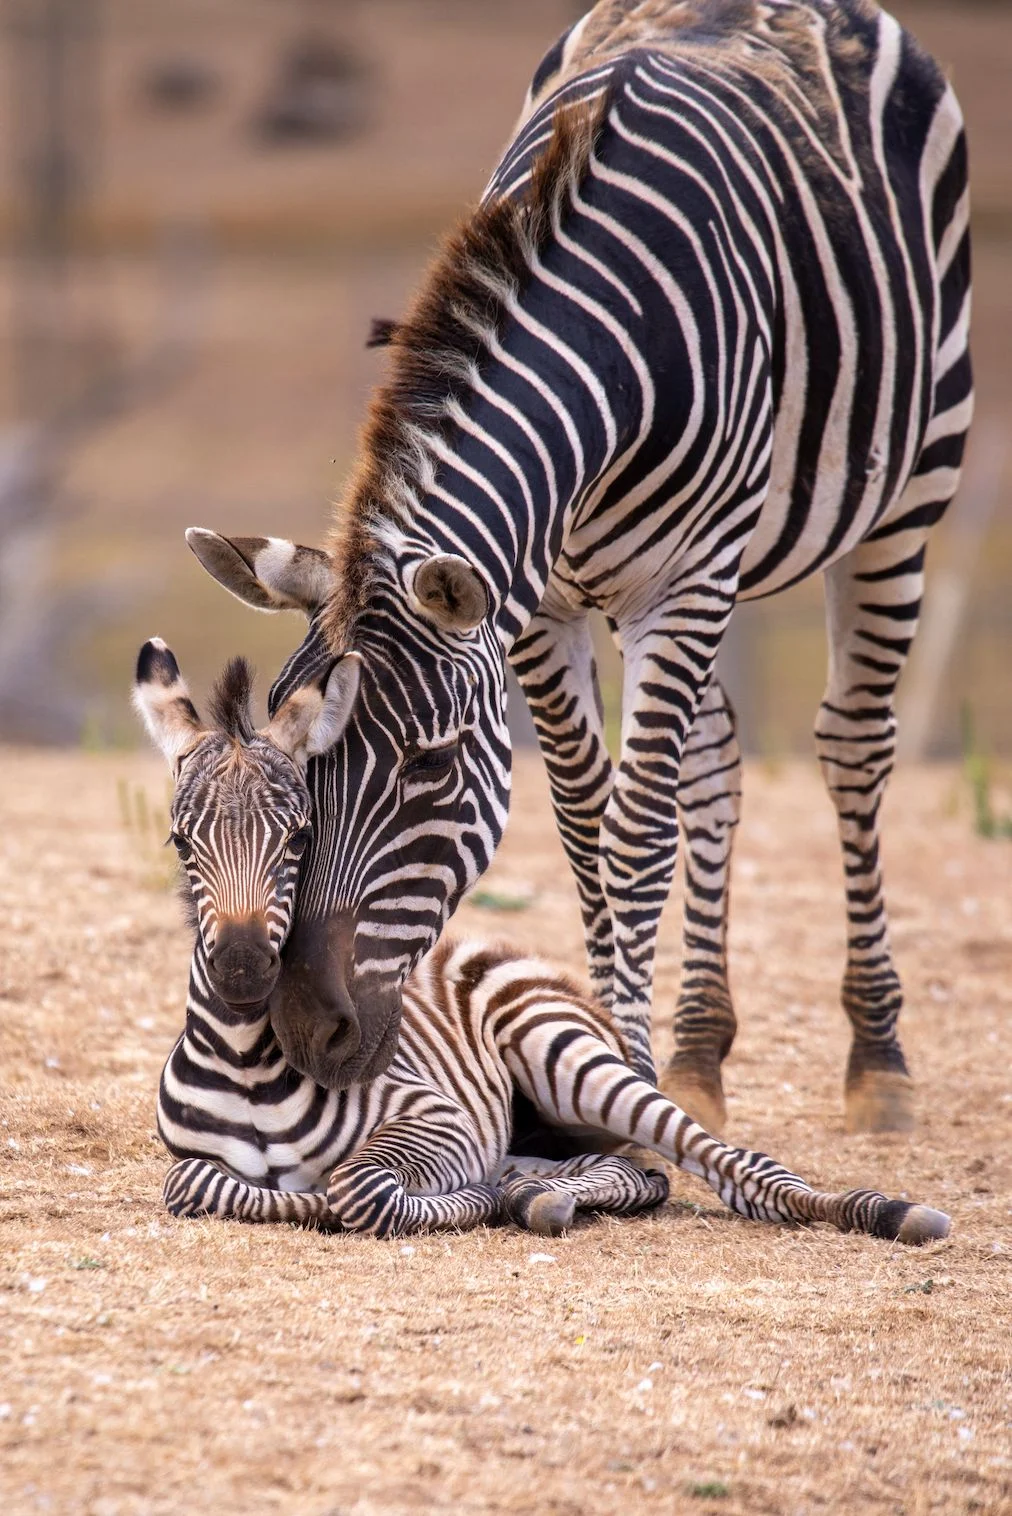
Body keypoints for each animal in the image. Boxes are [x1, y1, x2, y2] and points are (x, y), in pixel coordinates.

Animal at [134, 636, 949, 1244]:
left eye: (300, 839)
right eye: (179, 842)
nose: (244, 970)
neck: (247, 1064)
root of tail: (488, 949)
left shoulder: (438, 1117)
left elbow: (357, 1186)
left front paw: (457, 1202)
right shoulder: (192, 1164)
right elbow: (193, 1184)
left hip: (566, 1057)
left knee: (728, 1165)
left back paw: (888, 1212)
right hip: (552, 1121)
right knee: (628, 1171)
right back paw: (536, 1195)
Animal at [182, 0, 972, 1137]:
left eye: (429, 767)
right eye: (295, 777)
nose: (301, 1033)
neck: (608, 345)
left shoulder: (683, 579)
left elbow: (635, 837)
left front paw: (629, 1070)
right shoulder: (540, 606)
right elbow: (587, 821)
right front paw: (627, 1066)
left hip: (904, 493)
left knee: (854, 744)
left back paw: (878, 1062)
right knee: (715, 759)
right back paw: (701, 1052)